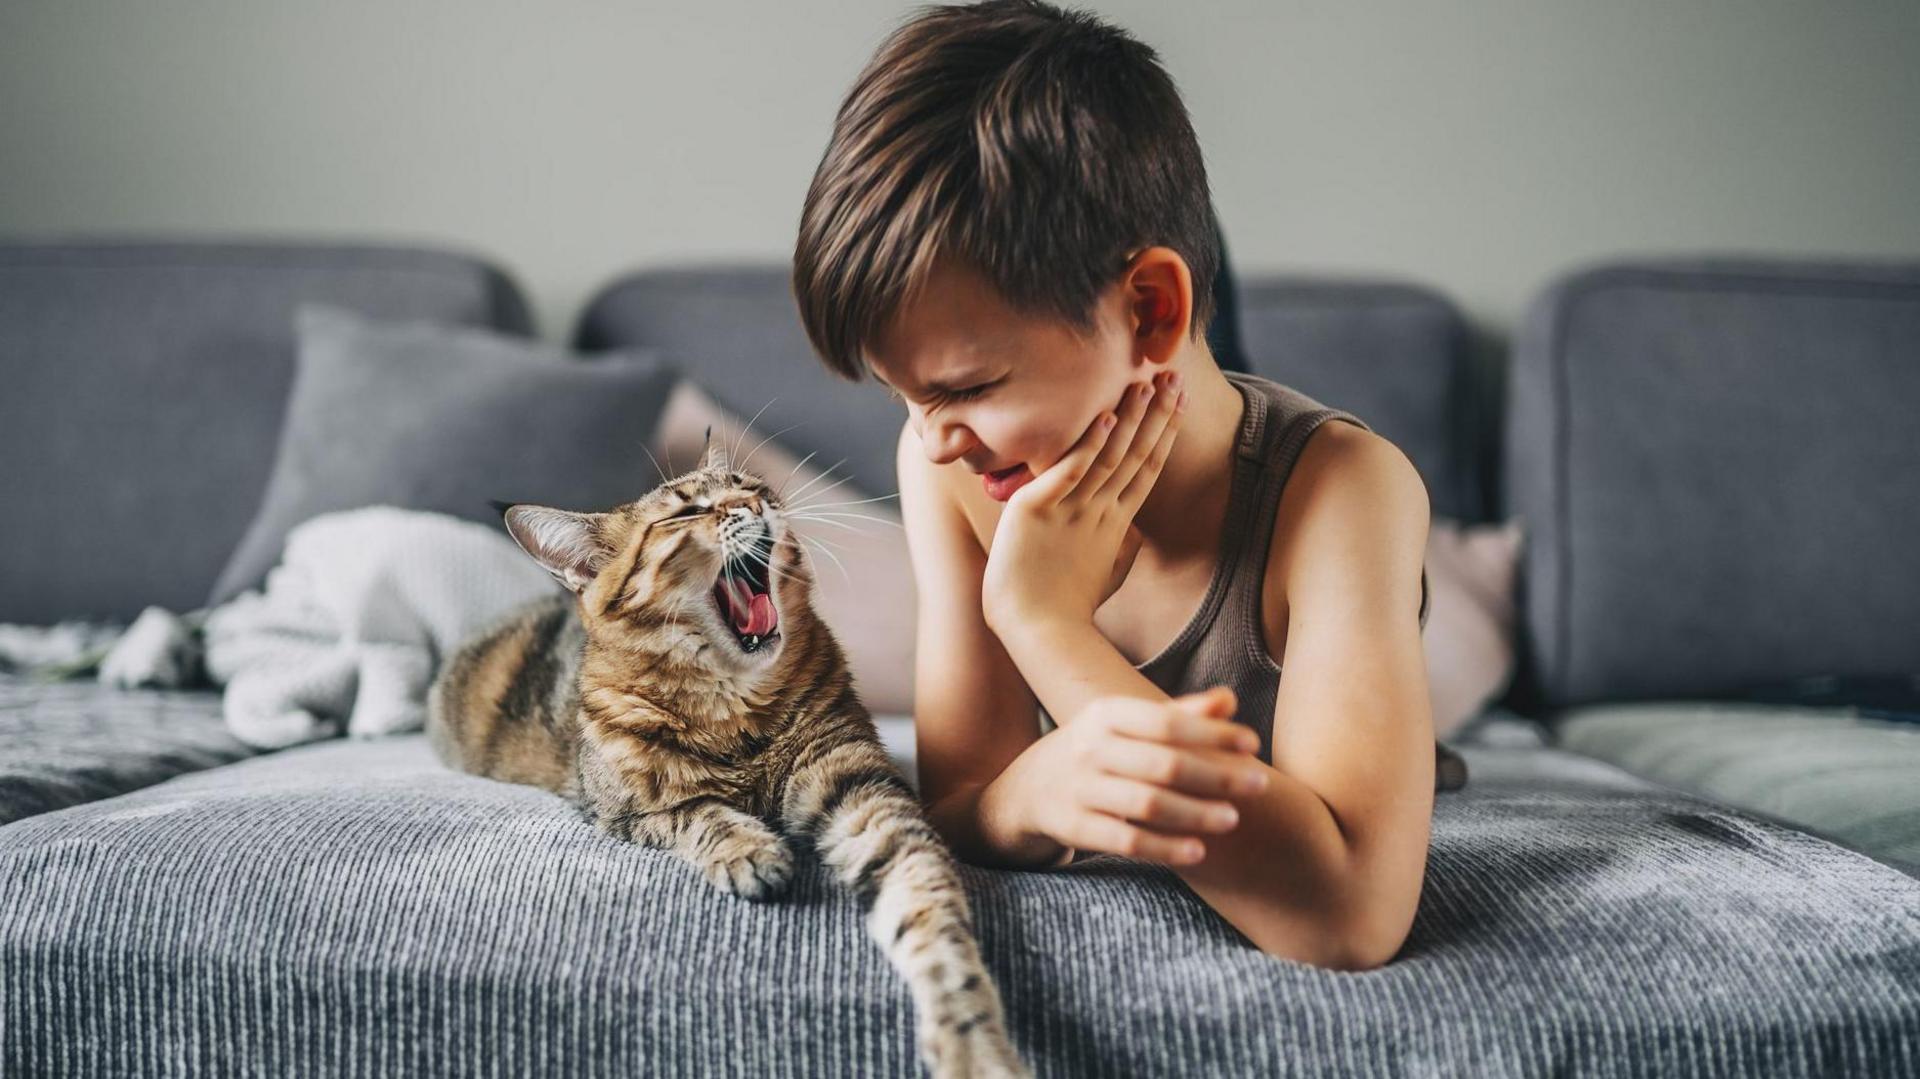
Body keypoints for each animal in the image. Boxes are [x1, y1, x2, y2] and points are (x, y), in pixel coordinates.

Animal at [426, 439, 1029, 1075]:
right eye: (685, 511)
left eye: (747, 483)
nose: (755, 502)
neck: (736, 711)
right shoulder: (625, 811)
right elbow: (698, 813)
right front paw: (748, 848)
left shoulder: (857, 781)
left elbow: (927, 906)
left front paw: (972, 1039)